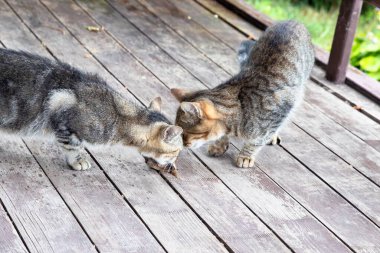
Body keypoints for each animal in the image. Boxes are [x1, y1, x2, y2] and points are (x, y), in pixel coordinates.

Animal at [171, 20, 314, 168]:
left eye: (187, 132)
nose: (183, 145)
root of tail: (293, 21)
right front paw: (220, 145)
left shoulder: (282, 108)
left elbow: (257, 141)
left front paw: (246, 156)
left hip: (298, 90)